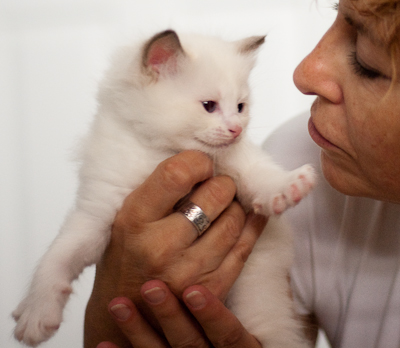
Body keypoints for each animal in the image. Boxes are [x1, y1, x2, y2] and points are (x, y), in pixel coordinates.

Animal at [12, 30, 316, 348]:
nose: (237, 130)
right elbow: (57, 258)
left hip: (257, 291)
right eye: (209, 105)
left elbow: (260, 173)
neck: (163, 153)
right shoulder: (97, 211)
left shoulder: (238, 166)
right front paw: (36, 313)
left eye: (240, 107)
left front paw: (288, 186)